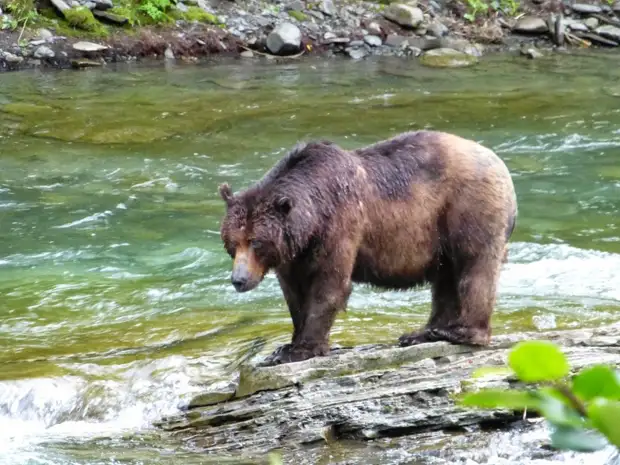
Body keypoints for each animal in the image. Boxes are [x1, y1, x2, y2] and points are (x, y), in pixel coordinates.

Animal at [218, 129, 520, 364]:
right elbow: (294, 293)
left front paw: (299, 349)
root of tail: (499, 163)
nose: (238, 280)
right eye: (232, 243)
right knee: (445, 277)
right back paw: (422, 333)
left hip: (469, 205)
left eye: (256, 242)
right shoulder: (292, 253)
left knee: (474, 265)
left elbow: (329, 286)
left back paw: (461, 332)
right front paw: (286, 345)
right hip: (440, 231)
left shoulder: (341, 223)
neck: (311, 219)